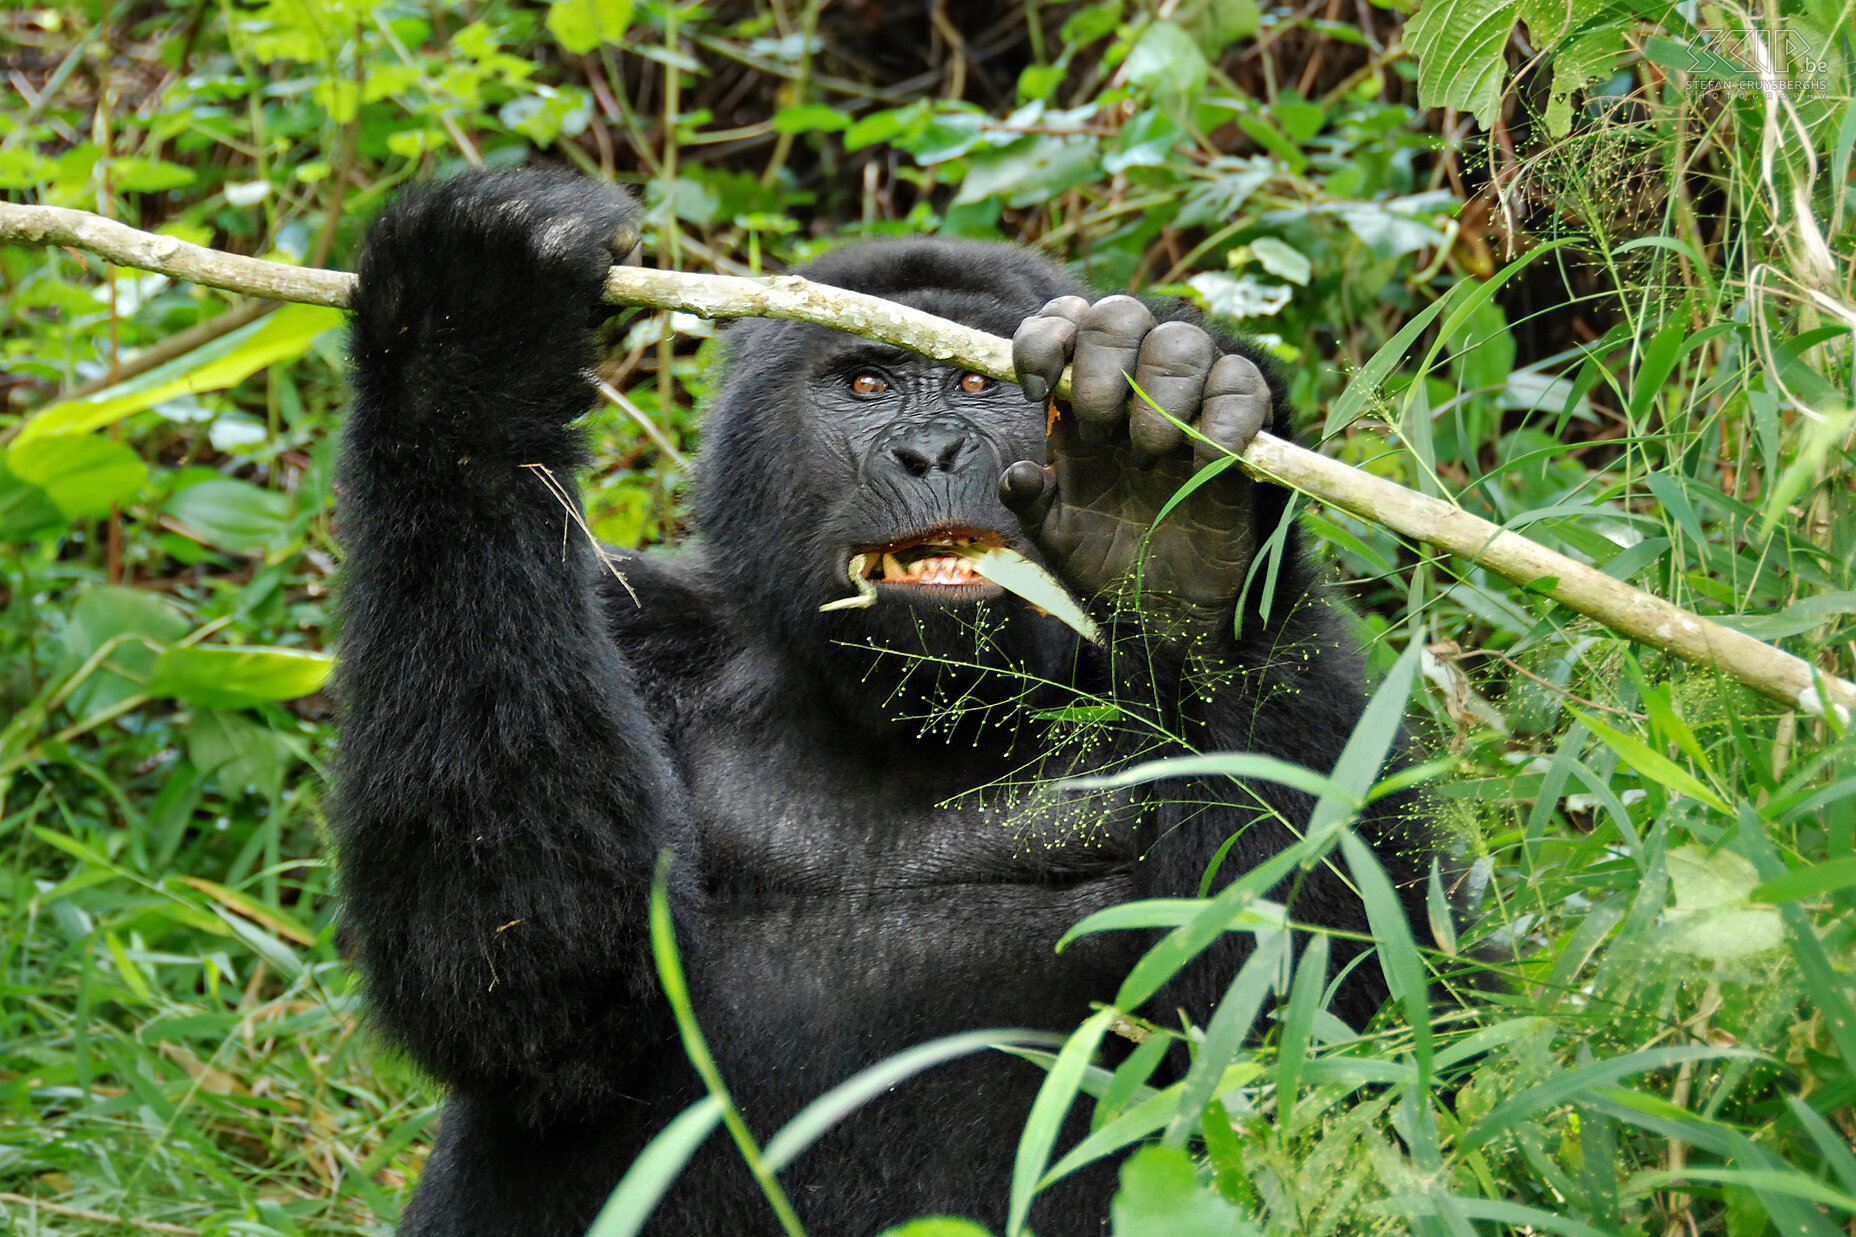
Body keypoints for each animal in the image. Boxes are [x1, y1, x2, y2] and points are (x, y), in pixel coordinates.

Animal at [334, 169, 1425, 1233]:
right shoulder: (650, 631)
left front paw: (1167, 527)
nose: (929, 450)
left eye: (976, 383)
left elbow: (1320, 1019)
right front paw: (466, 342)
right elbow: (539, 993)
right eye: (866, 384)